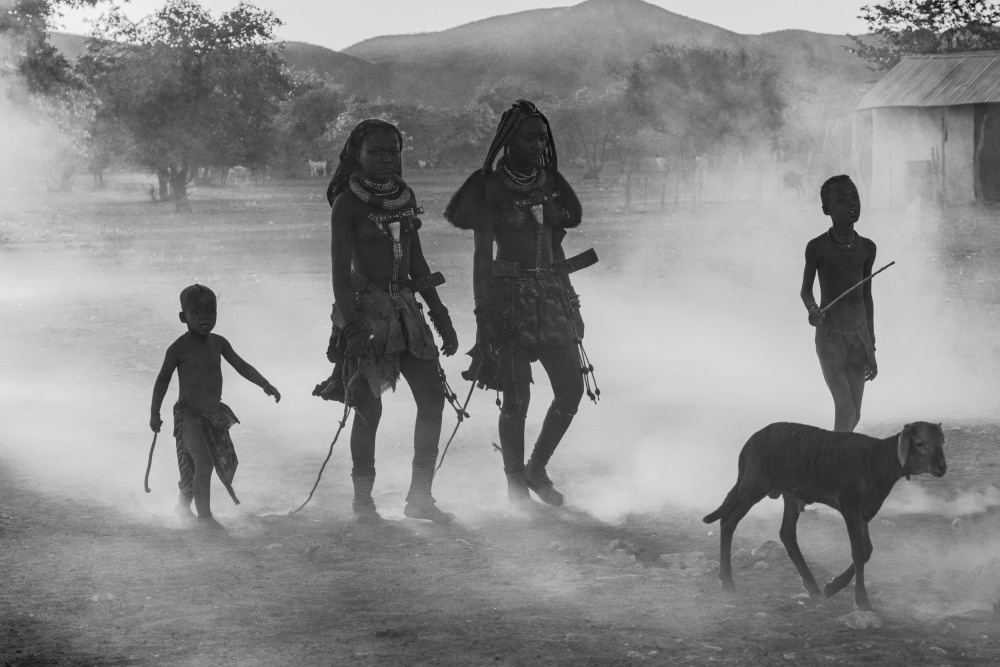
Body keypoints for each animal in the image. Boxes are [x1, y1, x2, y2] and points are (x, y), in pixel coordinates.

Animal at [704, 422, 944, 612]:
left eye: (942, 442)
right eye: (920, 443)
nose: (942, 467)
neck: (877, 460)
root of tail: (748, 445)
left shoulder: (863, 511)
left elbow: (867, 551)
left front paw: (832, 587)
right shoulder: (850, 505)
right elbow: (858, 552)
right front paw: (861, 600)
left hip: (789, 493)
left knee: (786, 534)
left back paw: (813, 588)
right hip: (754, 485)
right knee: (728, 522)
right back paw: (727, 581)